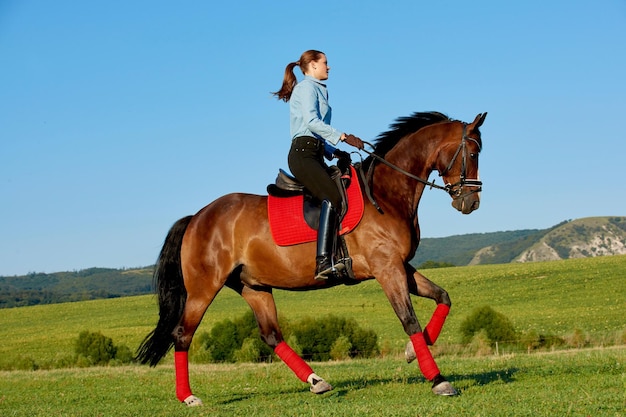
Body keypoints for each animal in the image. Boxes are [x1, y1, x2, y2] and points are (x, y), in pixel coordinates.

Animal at [138, 109, 488, 404]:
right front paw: (438, 380)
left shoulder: (400, 266)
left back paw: (317, 381)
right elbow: (409, 318)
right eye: (473, 154)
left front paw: (411, 352)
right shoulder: (387, 268)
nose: (470, 203)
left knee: (270, 335)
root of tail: (197, 217)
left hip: (253, 285)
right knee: (182, 335)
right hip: (204, 287)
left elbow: (443, 297)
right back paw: (188, 397)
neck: (387, 194)